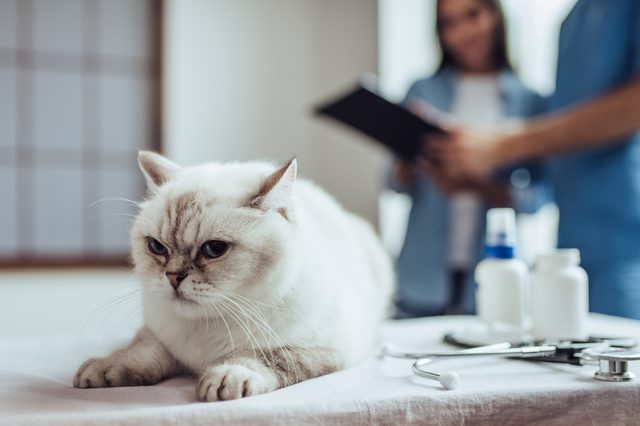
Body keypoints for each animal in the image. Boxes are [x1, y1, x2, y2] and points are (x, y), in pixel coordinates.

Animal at [75, 151, 396, 402]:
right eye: (157, 247)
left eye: (214, 249)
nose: (173, 277)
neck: (208, 326)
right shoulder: (160, 336)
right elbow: (141, 352)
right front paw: (103, 369)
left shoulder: (321, 350)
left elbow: (263, 357)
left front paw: (226, 376)